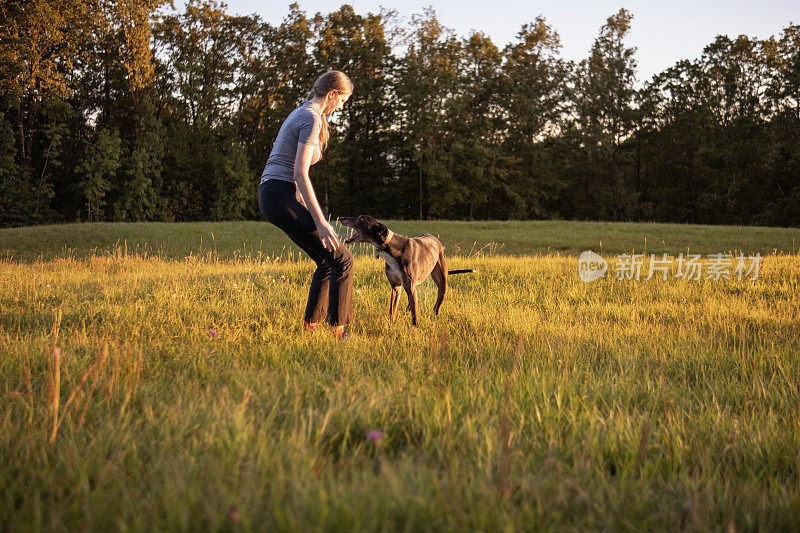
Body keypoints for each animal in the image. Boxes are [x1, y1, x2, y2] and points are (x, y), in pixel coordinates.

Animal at [336, 215, 472, 324]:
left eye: (361, 218)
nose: (341, 217)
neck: (391, 247)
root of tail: (434, 238)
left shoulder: (409, 286)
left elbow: (415, 316)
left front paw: (416, 328)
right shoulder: (396, 287)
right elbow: (392, 311)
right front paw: (391, 326)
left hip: (442, 283)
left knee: (436, 305)